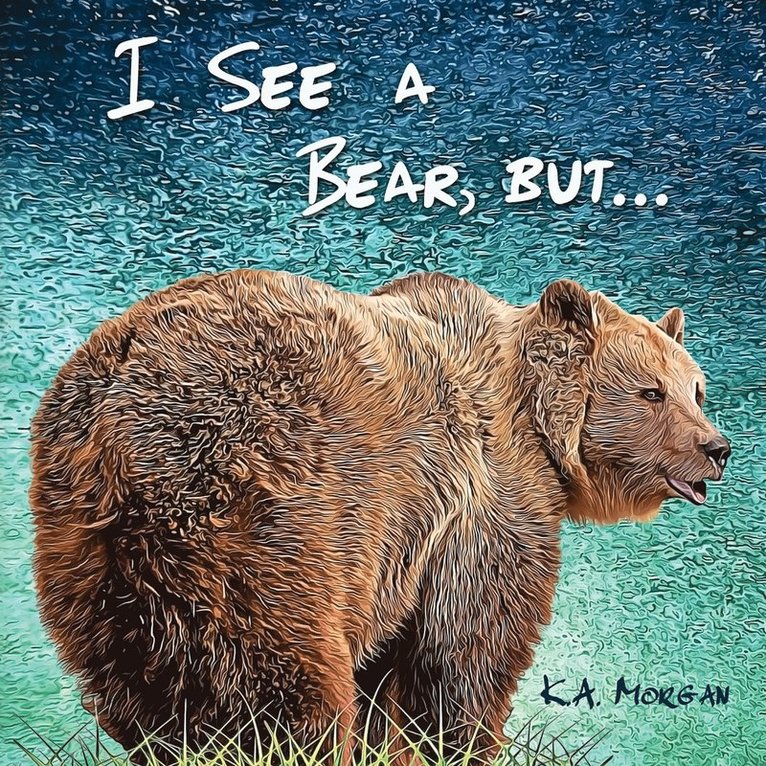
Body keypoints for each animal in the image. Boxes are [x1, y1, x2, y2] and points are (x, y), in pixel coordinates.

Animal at [30, 270, 730, 763]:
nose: (716, 448)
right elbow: (464, 651)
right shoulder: (479, 503)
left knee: (145, 677)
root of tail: (118, 410)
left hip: (93, 546)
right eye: (651, 391)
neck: (538, 426)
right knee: (285, 677)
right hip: (268, 502)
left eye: (697, 388)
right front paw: (457, 745)